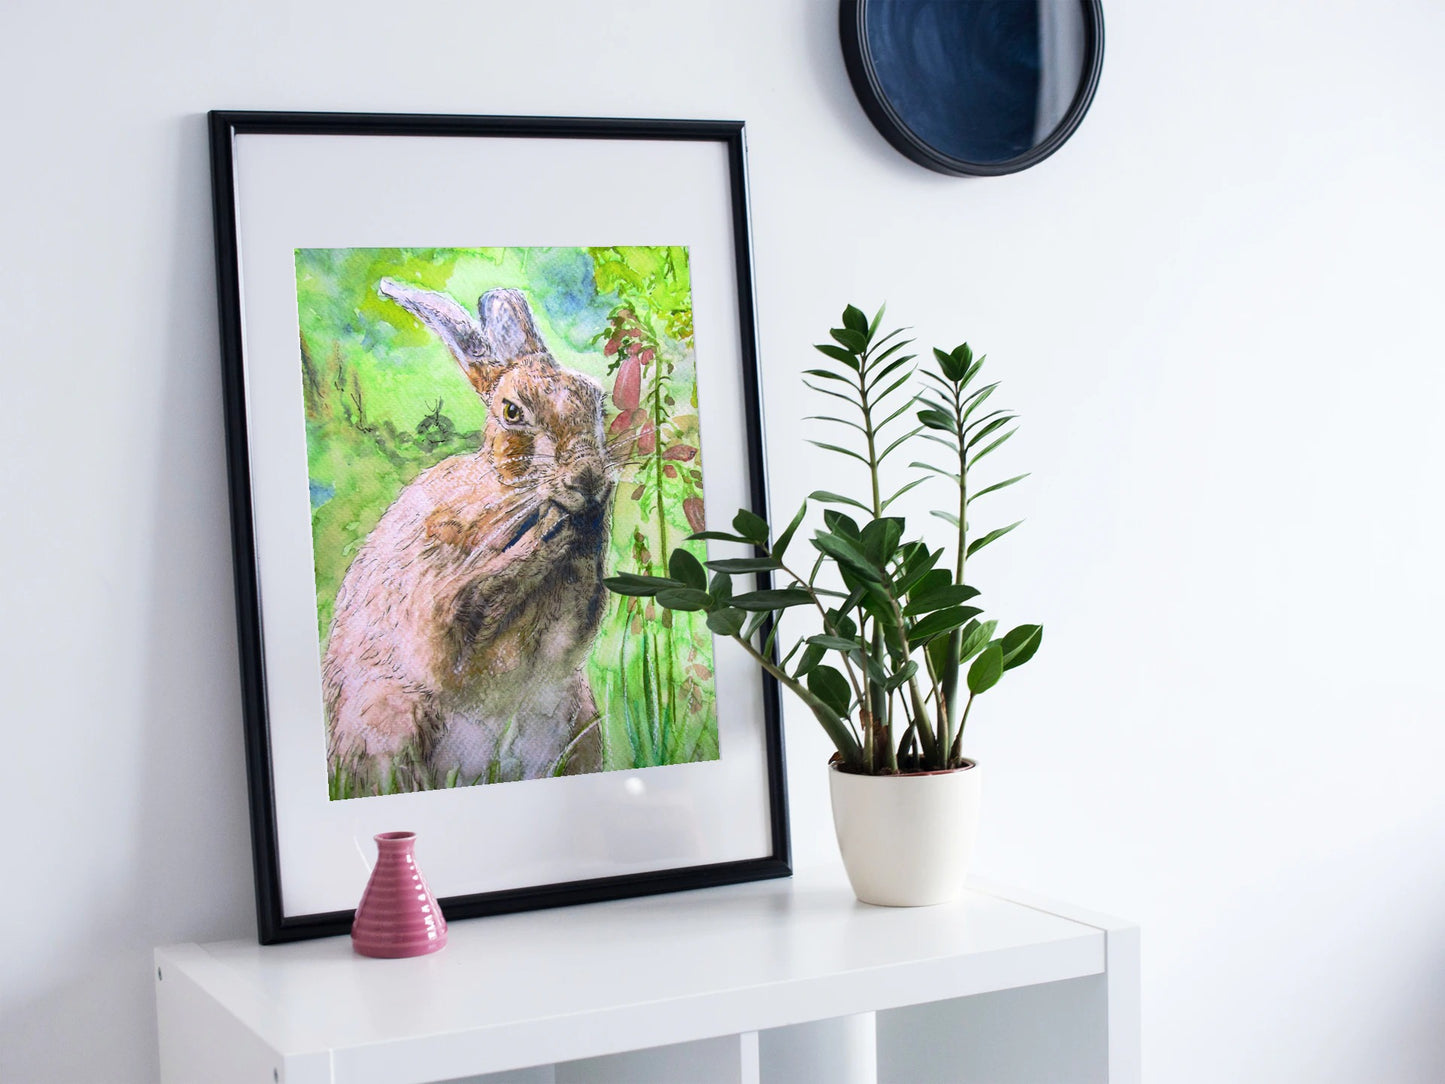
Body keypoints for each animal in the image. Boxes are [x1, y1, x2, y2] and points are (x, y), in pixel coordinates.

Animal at [322, 280, 616, 794]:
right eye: (512, 411)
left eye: (596, 400)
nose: (588, 478)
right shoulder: (437, 597)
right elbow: (470, 609)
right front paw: (548, 531)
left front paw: (590, 521)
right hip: (389, 718)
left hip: (578, 716)